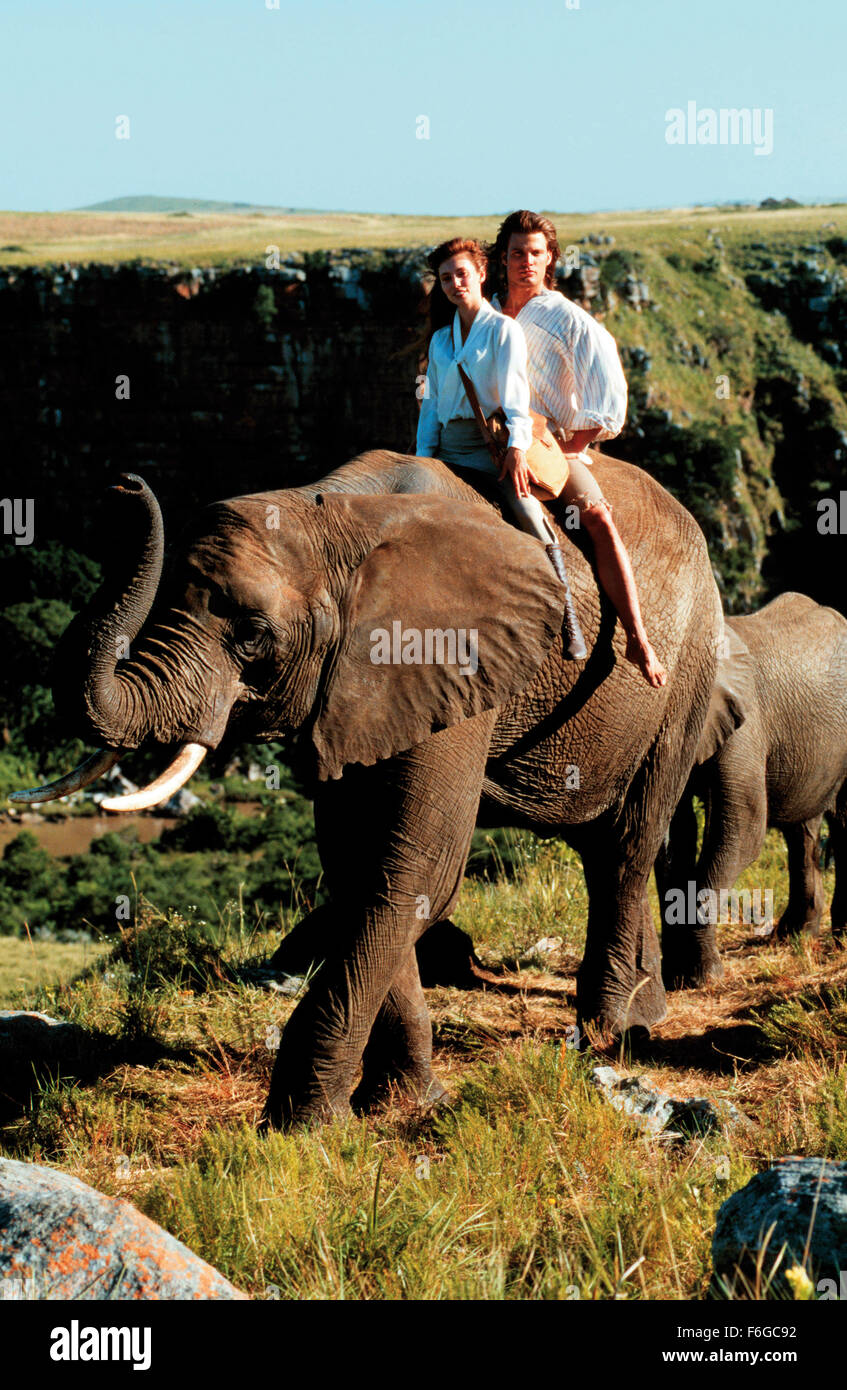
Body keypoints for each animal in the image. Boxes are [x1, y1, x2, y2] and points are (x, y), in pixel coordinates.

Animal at [9, 450, 728, 1123]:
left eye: (252, 637)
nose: (124, 483)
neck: (332, 514)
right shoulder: (355, 692)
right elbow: (362, 868)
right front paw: (405, 1100)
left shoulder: (445, 657)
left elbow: (417, 870)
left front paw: (299, 1126)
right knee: (605, 848)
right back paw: (644, 1015)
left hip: (686, 671)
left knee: (629, 842)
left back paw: (609, 1029)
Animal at [662, 592, 845, 984]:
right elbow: (675, 833)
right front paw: (674, 978)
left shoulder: (746, 725)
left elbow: (742, 828)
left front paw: (705, 977)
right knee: (802, 831)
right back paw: (795, 936)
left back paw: (838, 936)